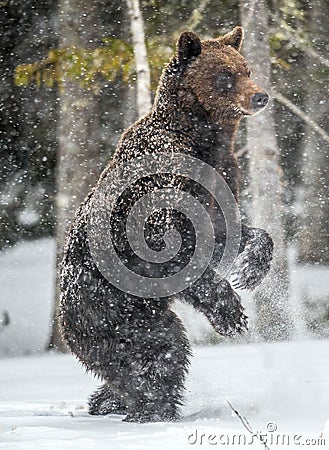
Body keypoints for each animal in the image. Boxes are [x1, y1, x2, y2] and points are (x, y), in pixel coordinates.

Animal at [59, 27, 272, 422]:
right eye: (225, 75)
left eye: (246, 68)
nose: (260, 95)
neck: (203, 140)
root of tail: (65, 318)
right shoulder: (162, 186)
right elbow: (173, 251)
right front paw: (232, 313)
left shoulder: (222, 178)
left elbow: (225, 233)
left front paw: (251, 267)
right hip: (115, 313)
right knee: (156, 354)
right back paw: (152, 409)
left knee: (154, 356)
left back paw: (109, 402)